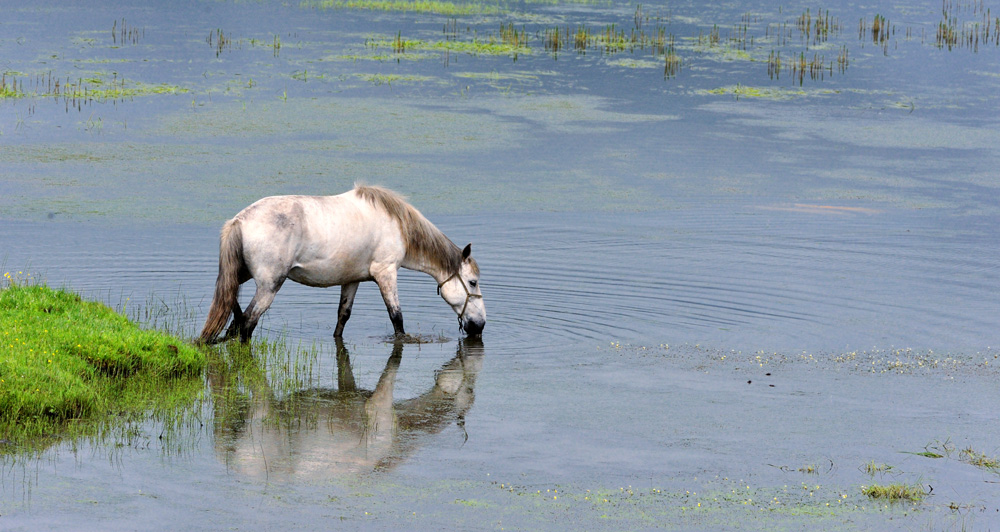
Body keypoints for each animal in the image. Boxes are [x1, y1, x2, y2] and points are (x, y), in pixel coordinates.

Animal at [198, 186, 484, 344]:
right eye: (472, 282)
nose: (479, 326)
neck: (398, 225)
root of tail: (239, 220)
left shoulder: (352, 280)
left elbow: (342, 316)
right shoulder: (386, 273)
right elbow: (397, 318)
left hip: (242, 274)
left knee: (231, 303)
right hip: (268, 287)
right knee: (248, 323)